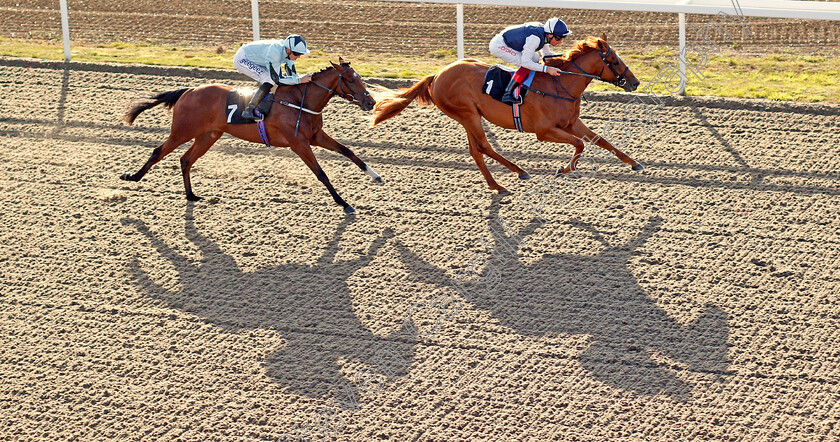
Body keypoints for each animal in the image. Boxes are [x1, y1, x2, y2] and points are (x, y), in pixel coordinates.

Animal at [120, 58, 378, 214]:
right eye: (351, 79)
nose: (371, 102)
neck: (299, 102)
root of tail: (189, 90)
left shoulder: (316, 136)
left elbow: (348, 151)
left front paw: (375, 176)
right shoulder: (298, 143)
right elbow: (321, 173)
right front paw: (344, 203)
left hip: (208, 135)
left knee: (186, 159)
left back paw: (191, 195)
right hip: (182, 131)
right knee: (158, 152)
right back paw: (132, 177)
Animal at [374, 34, 644, 193]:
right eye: (614, 61)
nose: (635, 82)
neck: (561, 85)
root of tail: (437, 74)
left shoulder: (571, 123)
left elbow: (601, 140)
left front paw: (635, 163)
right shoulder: (544, 131)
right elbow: (580, 145)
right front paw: (563, 170)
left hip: (469, 117)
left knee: (476, 150)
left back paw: (498, 183)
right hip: (468, 115)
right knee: (483, 146)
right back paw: (516, 174)